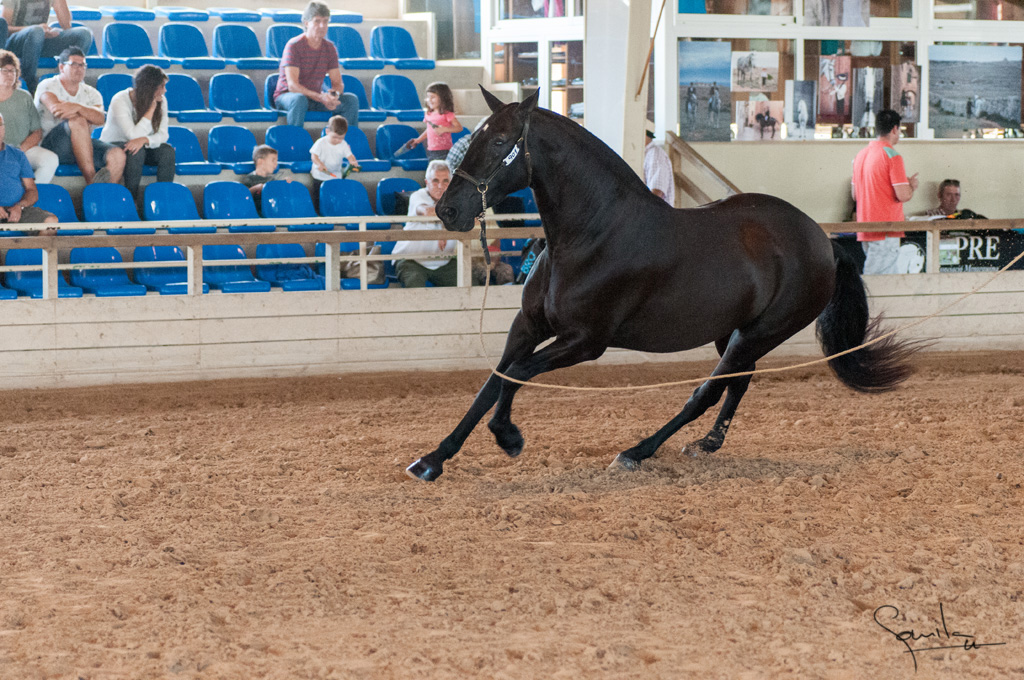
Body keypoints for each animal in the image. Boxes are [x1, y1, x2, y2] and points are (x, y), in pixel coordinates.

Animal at [403, 89, 917, 483]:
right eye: (474, 136)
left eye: (501, 141)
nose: (448, 210)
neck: (592, 234)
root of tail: (822, 239)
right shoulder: (527, 326)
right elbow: (493, 382)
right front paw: (431, 460)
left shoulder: (585, 341)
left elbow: (518, 376)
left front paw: (509, 437)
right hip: (732, 333)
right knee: (738, 381)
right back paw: (706, 444)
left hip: (762, 331)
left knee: (707, 391)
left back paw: (637, 451)